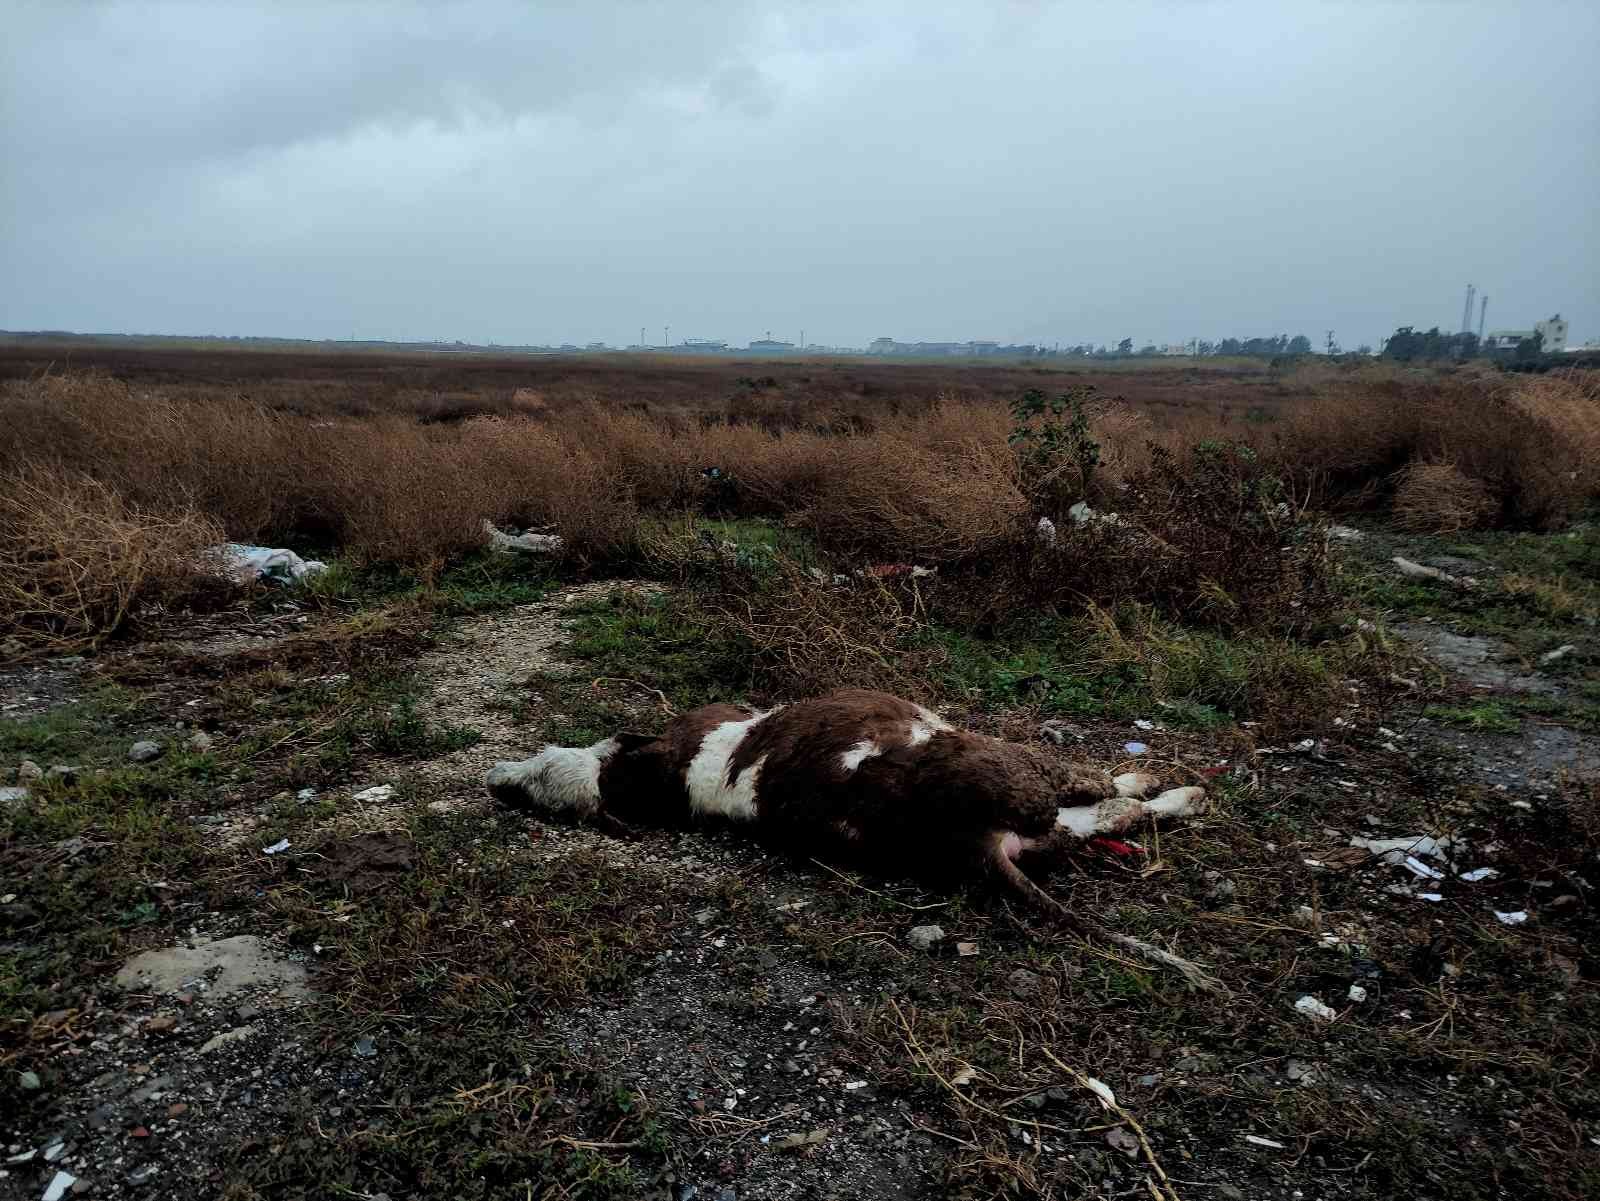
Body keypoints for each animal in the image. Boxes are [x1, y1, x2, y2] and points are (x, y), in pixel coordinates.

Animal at [480, 690, 1216, 991]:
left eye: (541, 767)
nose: (497, 783)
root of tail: (965, 835)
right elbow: (1100, 782)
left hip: (1020, 820)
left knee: (1089, 820)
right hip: (1013, 764)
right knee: (1104, 799)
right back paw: (1174, 791)